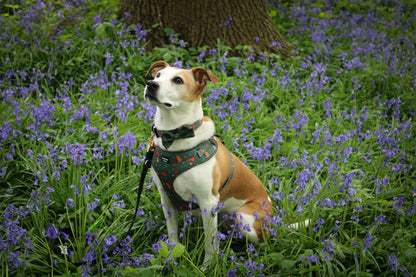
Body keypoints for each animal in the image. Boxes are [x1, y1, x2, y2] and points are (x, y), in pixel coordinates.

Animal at [143, 61, 272, 268]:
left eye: (178, 80)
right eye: (158, 75)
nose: (150, 84)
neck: (175, 137)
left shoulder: (208, 203)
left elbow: (209, 243)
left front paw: (207, 267)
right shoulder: (166, 198)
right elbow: (173, 236)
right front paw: (171, 260)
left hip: (244, 218)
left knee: (263, 242)